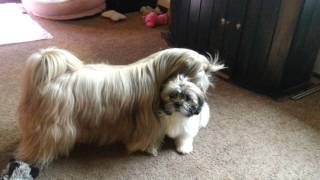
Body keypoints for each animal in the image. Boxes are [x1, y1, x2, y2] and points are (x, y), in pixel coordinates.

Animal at [13, 47, 222, 169]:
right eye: (204, 70)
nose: (209, 80)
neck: (156, 75)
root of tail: (47, 76)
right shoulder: (148, 123)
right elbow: (148, 138)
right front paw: (150, 149)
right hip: (53, 127)